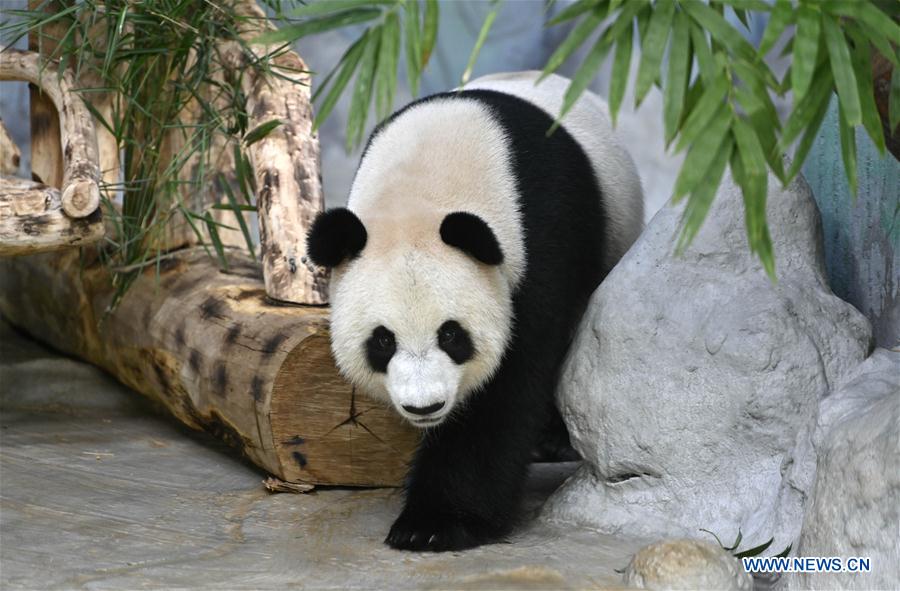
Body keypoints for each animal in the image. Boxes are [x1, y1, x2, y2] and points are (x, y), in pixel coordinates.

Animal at [306, 71, 644, 551]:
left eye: (451, 335)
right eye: (383, 340)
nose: (425, 406)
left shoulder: (540, 238)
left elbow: (507, 386)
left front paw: (434, 524)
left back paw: (555, 442)